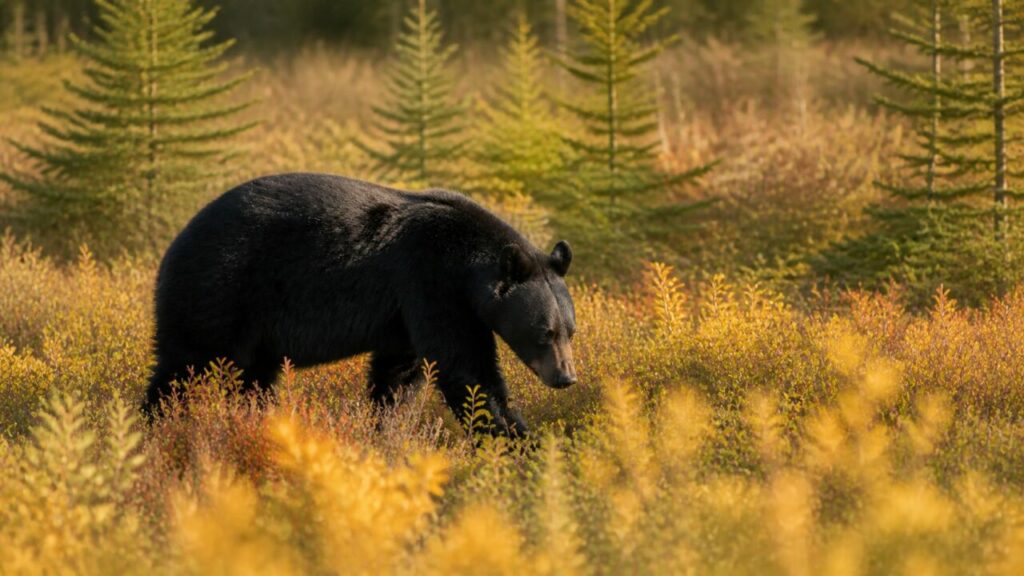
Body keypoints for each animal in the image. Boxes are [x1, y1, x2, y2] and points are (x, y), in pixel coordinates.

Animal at [143, 172, 578, 436]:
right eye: (545, 332)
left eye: (570, 331)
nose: (566, 377)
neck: (468, 261)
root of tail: (174, 244)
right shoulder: (431, 280)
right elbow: (465, 366)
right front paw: (514, 437)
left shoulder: (405, 310)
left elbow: (399, 373)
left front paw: (386, 427)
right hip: (219, 290)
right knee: (183, 366)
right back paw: (155, 427)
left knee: (253, 378)